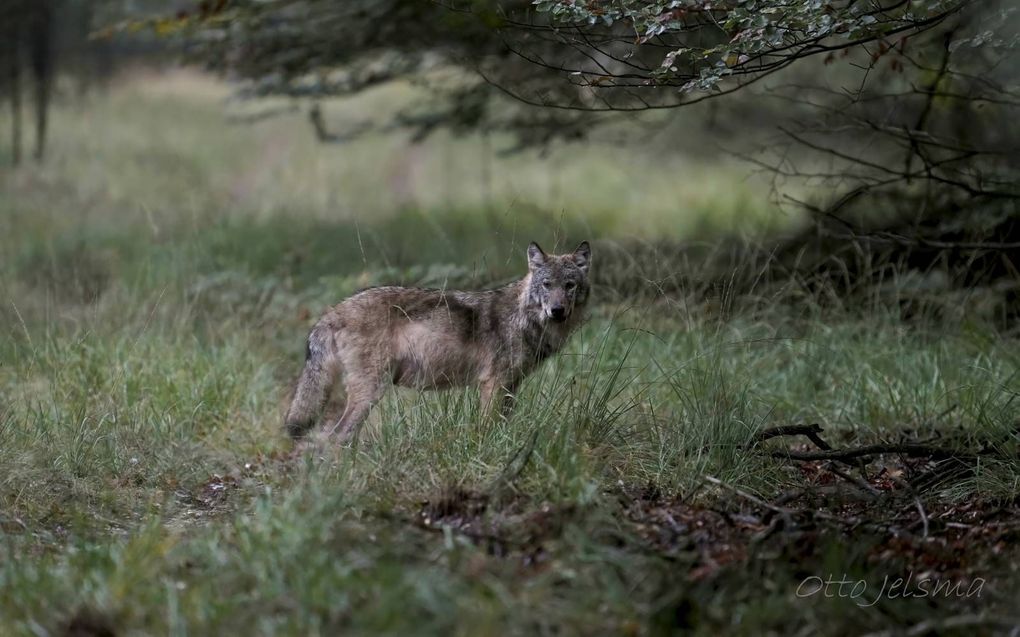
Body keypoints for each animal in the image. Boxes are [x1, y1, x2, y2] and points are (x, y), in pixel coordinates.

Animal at [285, 240, 591, 440]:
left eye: (569, 285)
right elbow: (487, 428)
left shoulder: (511, 386)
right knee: (337, 436)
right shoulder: (493, 383)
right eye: (547, 285)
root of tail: (333, 311)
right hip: (371, 391)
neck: (524, 318)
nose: (557, 310)